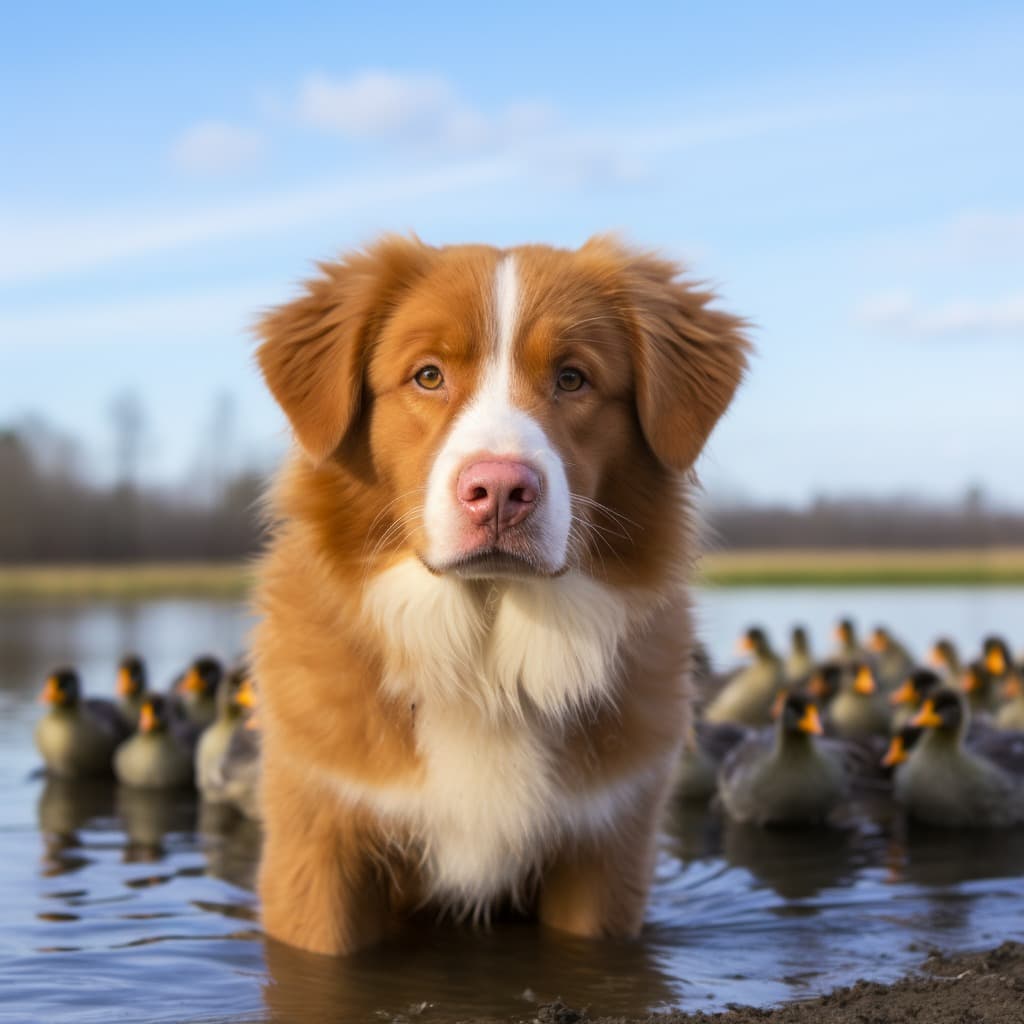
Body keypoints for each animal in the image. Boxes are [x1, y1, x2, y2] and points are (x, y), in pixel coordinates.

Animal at [251, 235, 749, 954]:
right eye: (428, 376)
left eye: (572, 378)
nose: (501, 491)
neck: (485, 649)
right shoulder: (320, 848)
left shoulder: (604, 854)